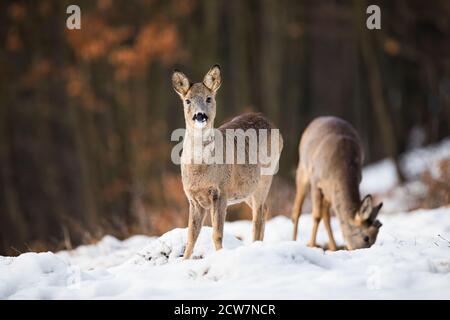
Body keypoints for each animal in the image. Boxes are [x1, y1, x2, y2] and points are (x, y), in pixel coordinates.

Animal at [171, 65, 282, 260]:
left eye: (209, 98)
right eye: (187, 100)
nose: (200, 116)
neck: (200, 171)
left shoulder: (220, 191)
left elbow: (217, 233)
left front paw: (221, 257)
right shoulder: (193, 199)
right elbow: (191, 235)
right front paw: (184, 260)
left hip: (265, 178)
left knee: (259, 214)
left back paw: (256, 248)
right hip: (246, 190)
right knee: (264, 209)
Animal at [292, 116, 384, 251]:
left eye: (375, 238)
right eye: (366, 237)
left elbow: (325, 215)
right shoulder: (315, 180)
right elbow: (316, 215)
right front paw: (312, 245)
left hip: (329, 192)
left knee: (326, 215)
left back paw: (333, 246)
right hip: (303, 168)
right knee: (297, 210)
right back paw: (293, 240)